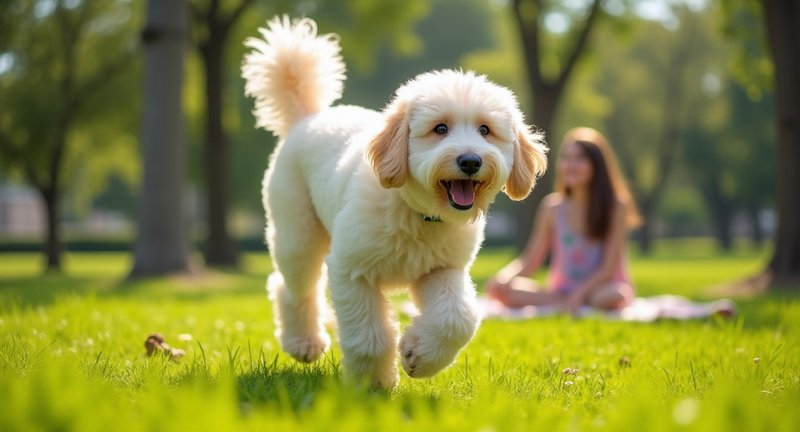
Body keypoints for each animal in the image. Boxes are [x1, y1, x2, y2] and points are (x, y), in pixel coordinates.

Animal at [241, 16, 548, 388]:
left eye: (485, 130)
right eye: (440, 128)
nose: (471, 161)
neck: (418, 215)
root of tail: (308, 118)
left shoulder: (443, 269)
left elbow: (458, 318)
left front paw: (418, 356)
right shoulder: (352, 272)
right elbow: (368, 337)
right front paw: (373, 383)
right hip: (297, 237)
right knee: (290, 287)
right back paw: (304, 343)